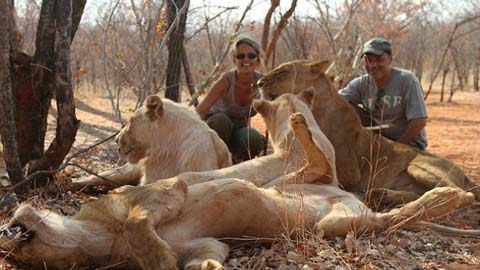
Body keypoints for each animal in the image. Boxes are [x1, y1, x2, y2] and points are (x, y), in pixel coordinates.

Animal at [0, 112, 472, 270]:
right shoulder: (210, 243)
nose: (8, 231)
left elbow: (137, 220)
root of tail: (348, 197)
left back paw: (453, 198)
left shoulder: (165, 190)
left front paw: (158, 259)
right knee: (335, 181)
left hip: (326, 213)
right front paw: (199, 267)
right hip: (324, 215)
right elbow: (205, 255)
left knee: (389, 210)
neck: (96, 241)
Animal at [258, 59, 480, 205]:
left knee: (463, 194)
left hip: (419, 166)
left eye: (283, 72)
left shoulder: (350, 173)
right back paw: (381, 195)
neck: (316, 107)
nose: (258, 83)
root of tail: (464, 173)